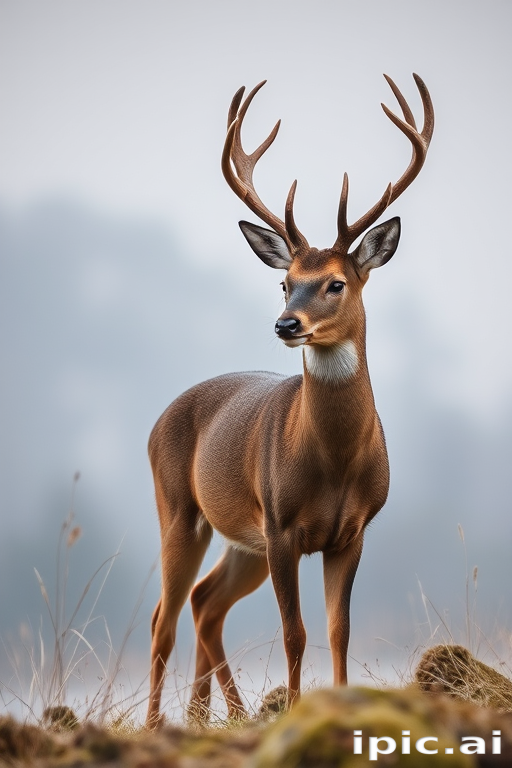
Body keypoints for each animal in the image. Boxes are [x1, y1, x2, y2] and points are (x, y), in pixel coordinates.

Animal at [146, 73, 434, 727]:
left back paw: (213, 714)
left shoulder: (352, 530)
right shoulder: (280, 525)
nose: (285, 323)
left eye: (336, 283)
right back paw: (157, 724)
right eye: (284, 281)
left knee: (204, 604)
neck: (335, 463)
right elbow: (294, 632)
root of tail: (160, 418)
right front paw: (299, 710)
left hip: (239, 537)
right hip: (180, 508)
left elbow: (338, 630)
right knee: (164, 618)